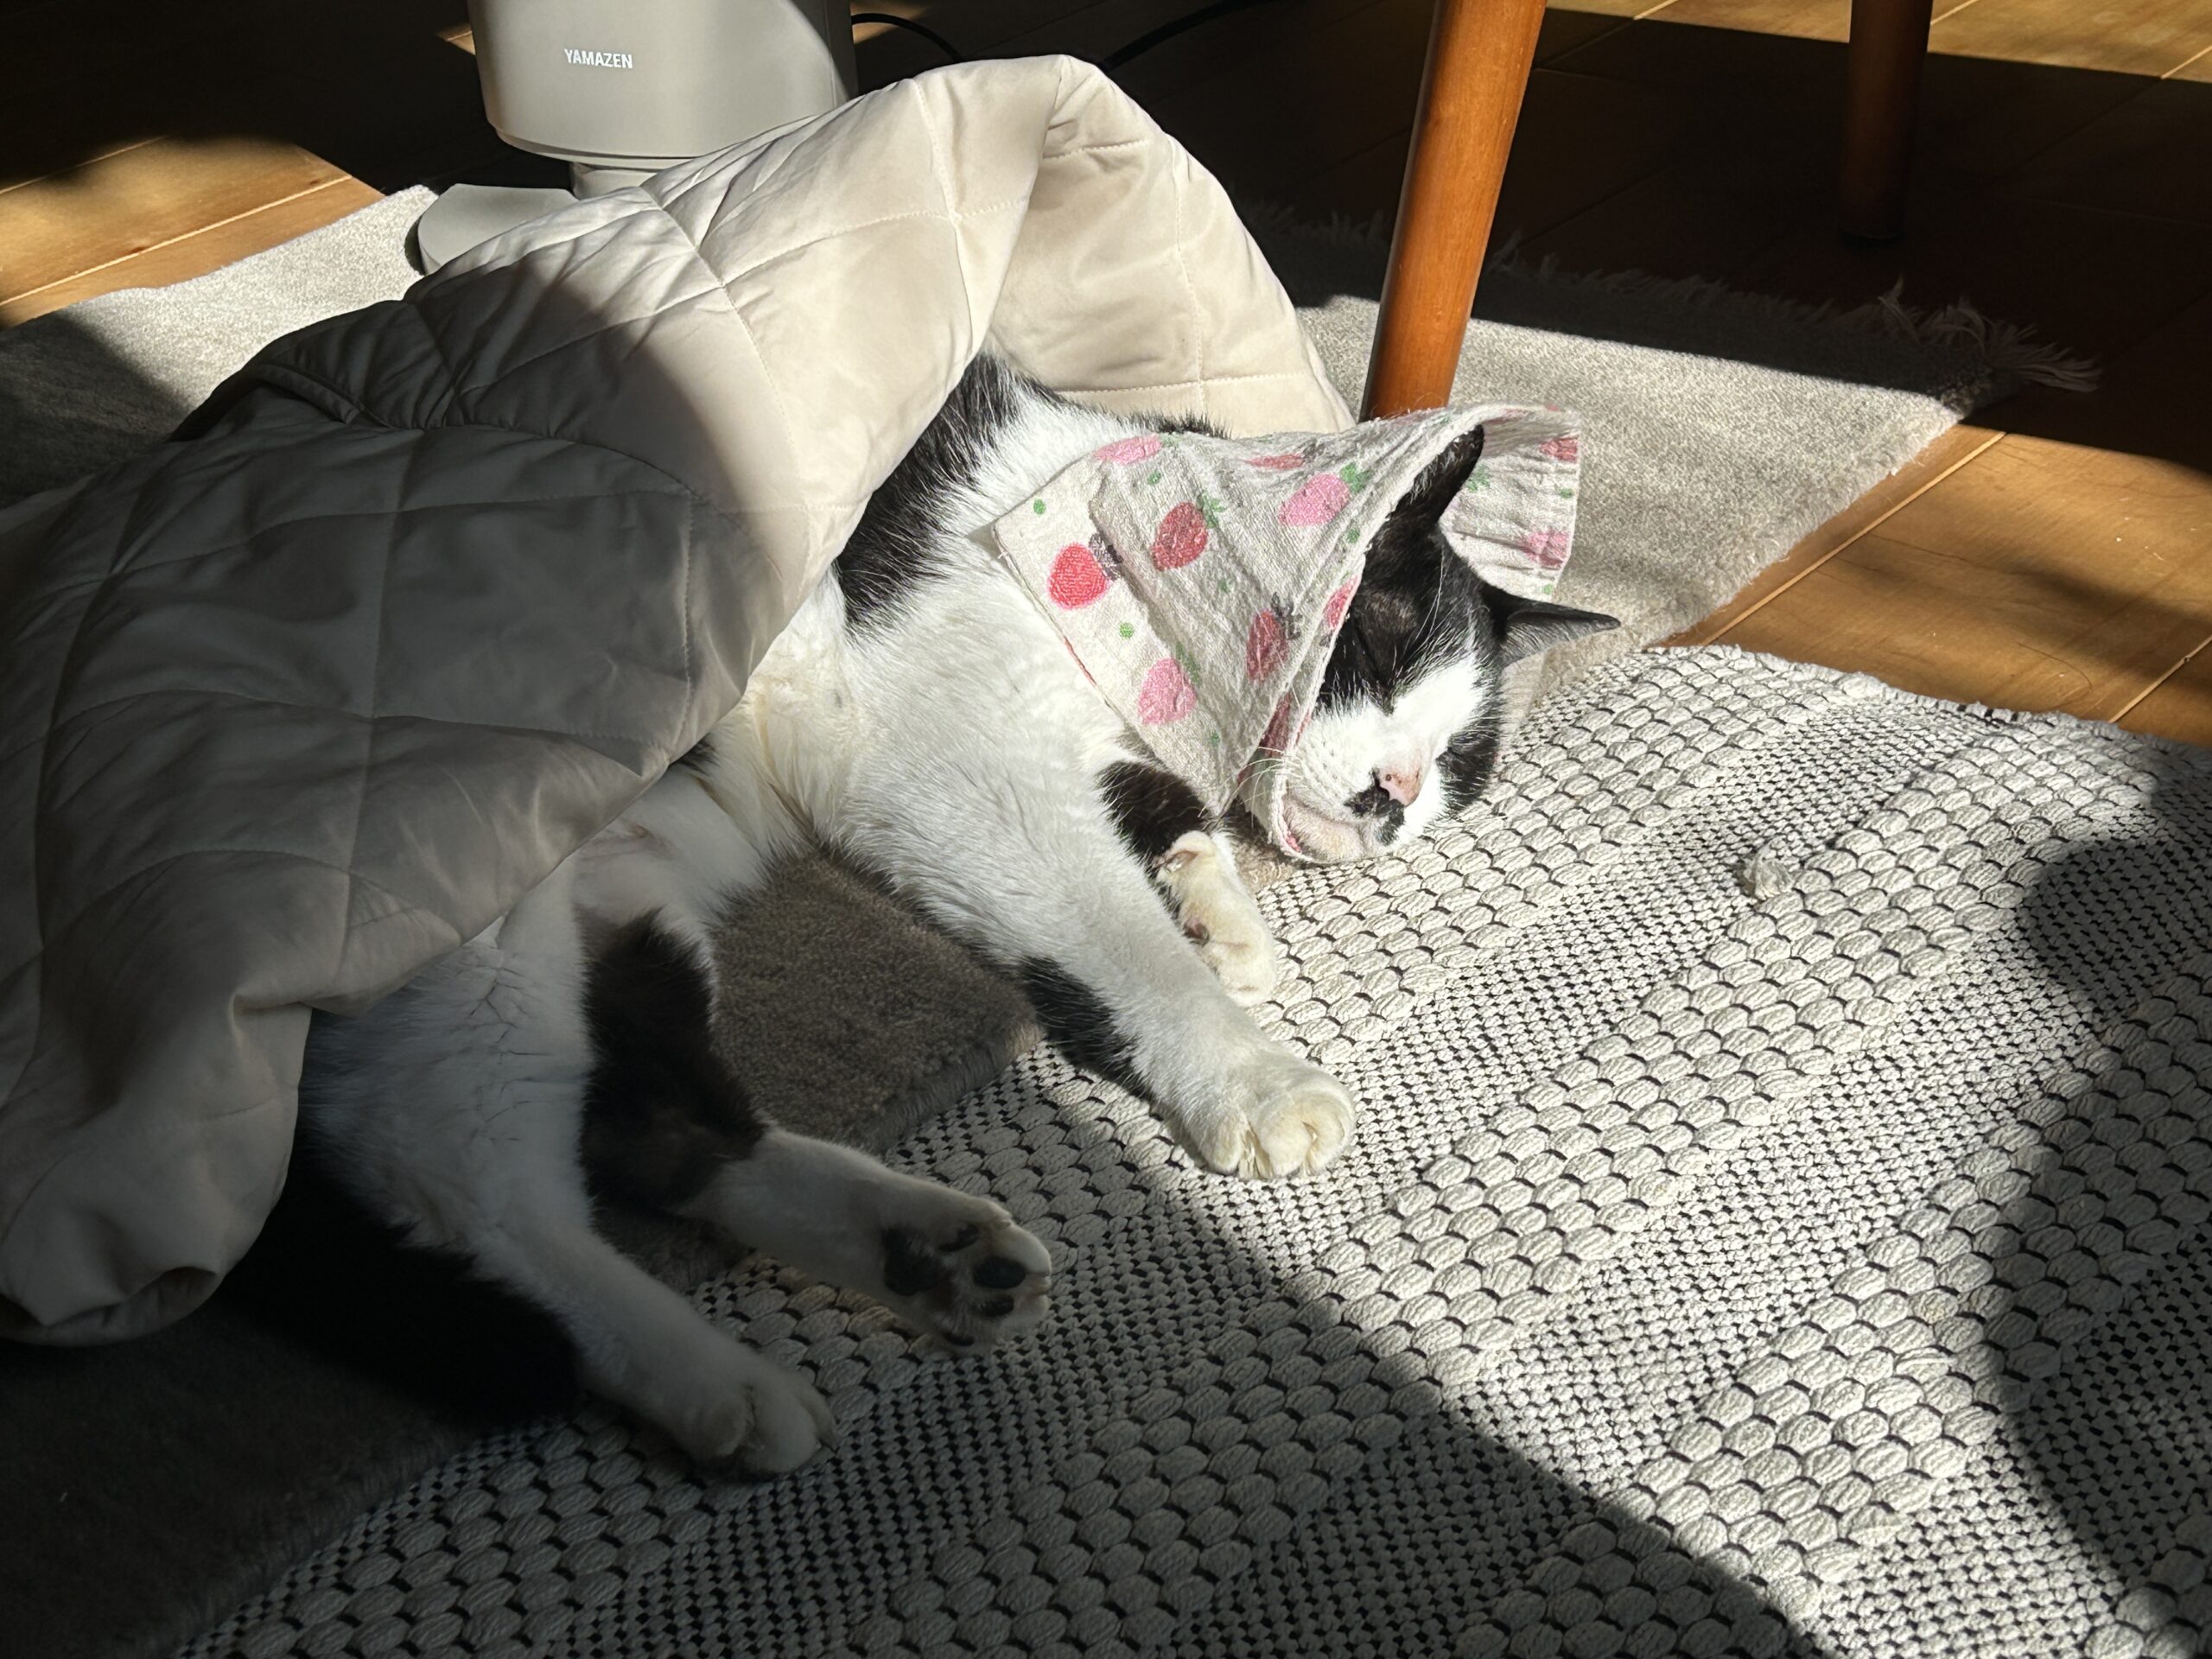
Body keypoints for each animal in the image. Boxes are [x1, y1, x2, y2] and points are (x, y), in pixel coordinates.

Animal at [297, 353, 1614, 1473]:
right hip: (473, 936)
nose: (1396, 793)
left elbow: (1169, 811)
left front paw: (1222, 916)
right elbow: (1117, 940)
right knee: (470, 1189)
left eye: (1458, 759)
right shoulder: (955, 769)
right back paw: (724, 1384)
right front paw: (1246, 1067)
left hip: (638, 921)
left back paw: (926, 1258)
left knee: (660, 1128)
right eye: (1379, 655)